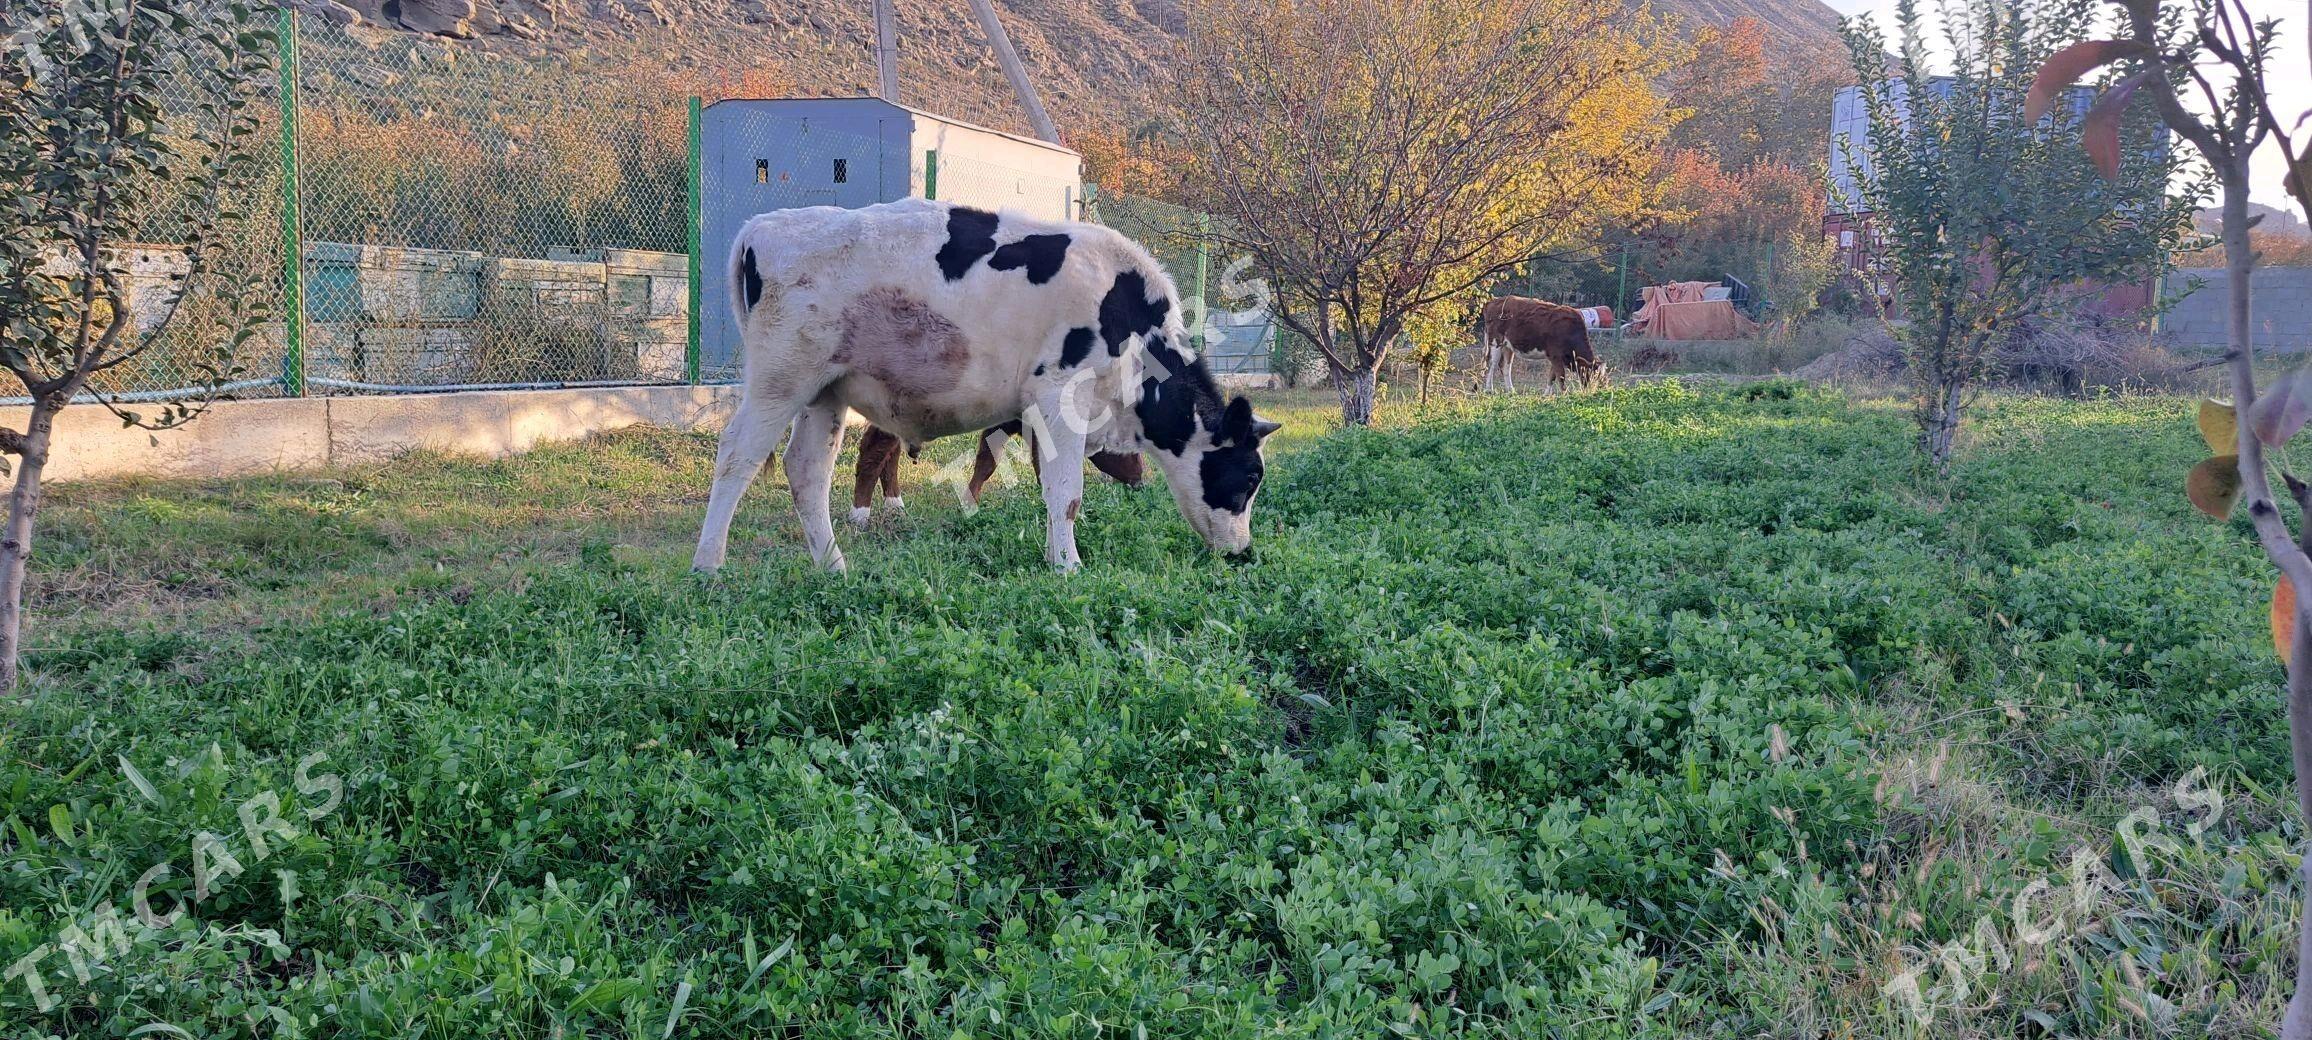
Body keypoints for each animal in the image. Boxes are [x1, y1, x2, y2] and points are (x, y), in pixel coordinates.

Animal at [693, 198, 1294, 573]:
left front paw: (1056, 557)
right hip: (780, 380)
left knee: (807, 472)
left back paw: (833, 567)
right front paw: (1069, 566)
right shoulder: (1060, 398)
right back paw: (708, 566)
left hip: (826, 394)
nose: (1244, 551)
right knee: (737, 456)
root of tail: (766, 224)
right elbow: (1066, 493)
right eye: (1248, 477)